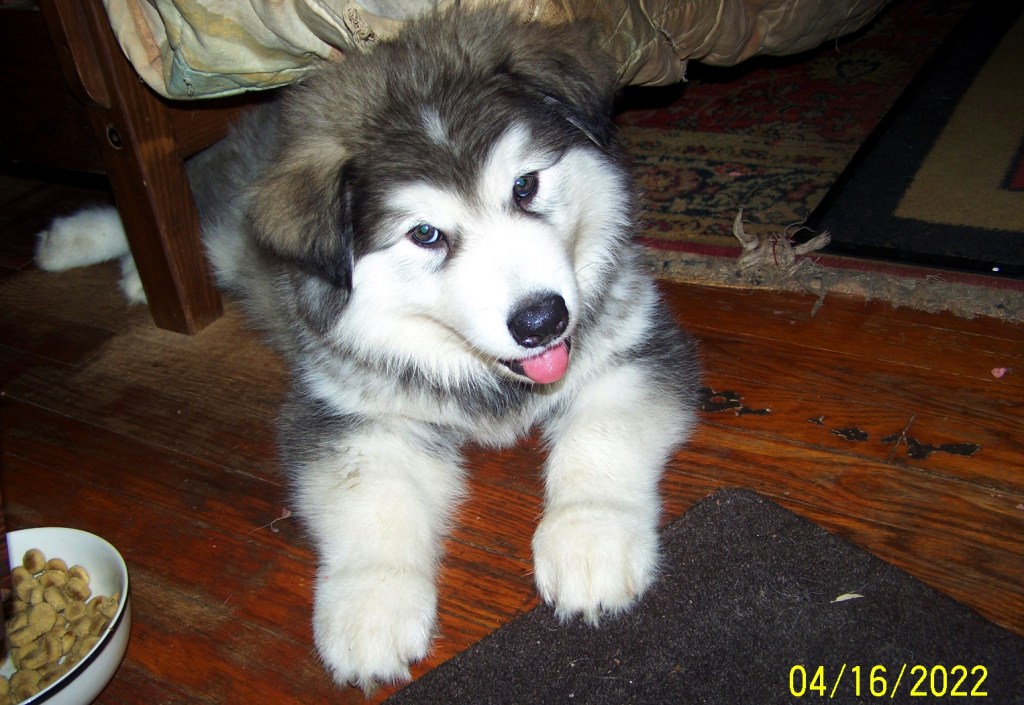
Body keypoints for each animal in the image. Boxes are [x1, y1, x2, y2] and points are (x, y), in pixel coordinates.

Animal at [35, 7, 701, 692]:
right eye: (425, 234)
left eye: (525, 185)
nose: (543, 320)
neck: (472, 369)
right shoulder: (352, 413)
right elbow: (373, 501)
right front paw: (370, 607)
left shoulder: (632, 348)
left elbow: (600, 440)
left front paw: (590, 538)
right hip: (223, 220)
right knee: (187, 206)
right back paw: (86, 244)